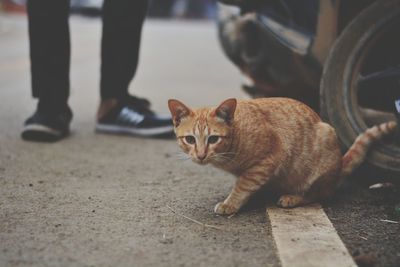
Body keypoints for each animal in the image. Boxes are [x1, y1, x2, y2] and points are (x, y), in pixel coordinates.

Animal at [167, 98, 396, 216]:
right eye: (190, 139)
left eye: (213, 139)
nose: (201, 155)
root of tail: (340, 164)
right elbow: (246, 183)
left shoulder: (270, 158)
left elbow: (243, 185)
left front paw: (230, 203)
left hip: (325, 144)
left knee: (320, 194)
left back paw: (293, 197)